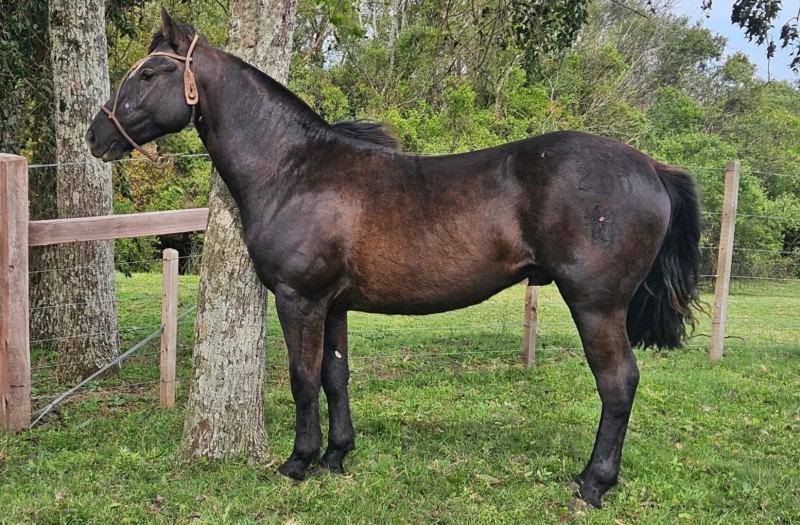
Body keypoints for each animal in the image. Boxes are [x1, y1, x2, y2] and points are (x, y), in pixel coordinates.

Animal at [86, 9, 701, 508]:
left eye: (148, 74)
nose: (95, 136)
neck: (293, 168)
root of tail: (651, 168)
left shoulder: (299, 298)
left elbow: (302, 378)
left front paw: (298, 461)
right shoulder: (332, 303)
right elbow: (335, 375)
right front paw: (336, 456)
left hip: (596, 305)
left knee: (618, 384)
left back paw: (593, 484)